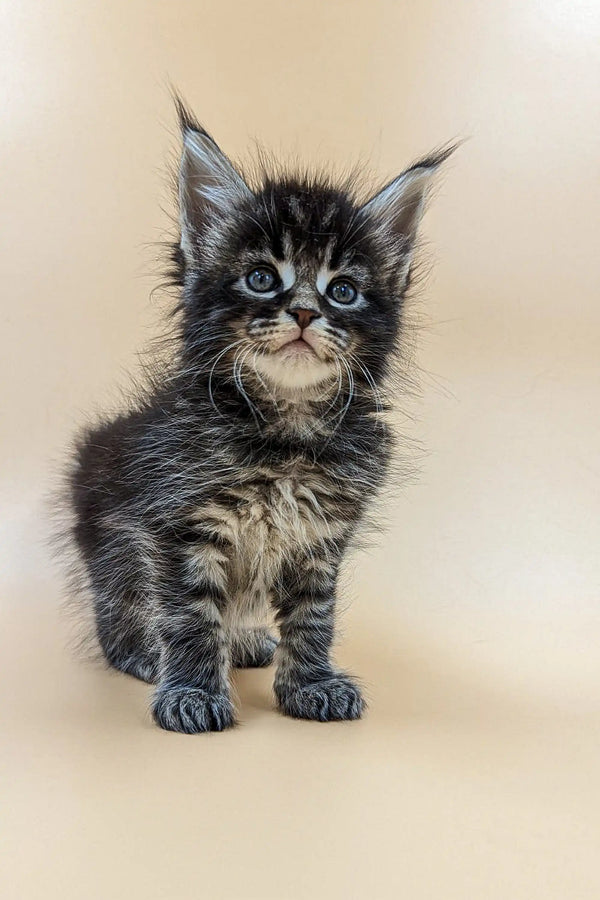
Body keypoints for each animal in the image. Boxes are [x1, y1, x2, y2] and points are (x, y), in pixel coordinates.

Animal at [65, 100, 452, 732]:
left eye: (342, 291)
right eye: (262, 279)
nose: (304, 312)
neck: (287, 436)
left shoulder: (321, 537)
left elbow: (313, 618)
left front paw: (311, 684)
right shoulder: (181, 524)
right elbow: (189, 615)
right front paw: (193, 690)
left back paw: (243, 641)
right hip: (112, 538)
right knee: (116, 609)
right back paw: (143, 652)